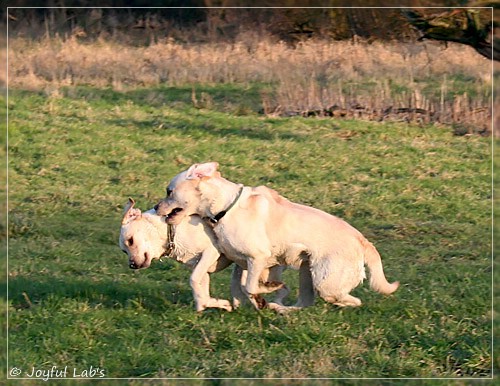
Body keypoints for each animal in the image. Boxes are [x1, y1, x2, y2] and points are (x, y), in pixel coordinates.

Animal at [120, 198, 292, 312]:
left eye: (131, 240)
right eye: (124, 250)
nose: (132, 265)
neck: (172, 231)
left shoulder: (210, 252)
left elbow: (193, 280)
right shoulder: (202, 268)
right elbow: (201, 294)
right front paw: (219, 304)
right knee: (244, 289)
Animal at [156, 161, 398, 310]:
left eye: (169, 191)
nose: (156, 207)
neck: (225, 208)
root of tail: (362, 241)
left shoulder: (258, 257)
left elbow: (250, 286)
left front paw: (269, 291)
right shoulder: (244, 262)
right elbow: (241, 286)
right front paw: (259, 300)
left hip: (326, 282)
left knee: (352, 300)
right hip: (307, 271)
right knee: (305, 303)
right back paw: (281, 309)